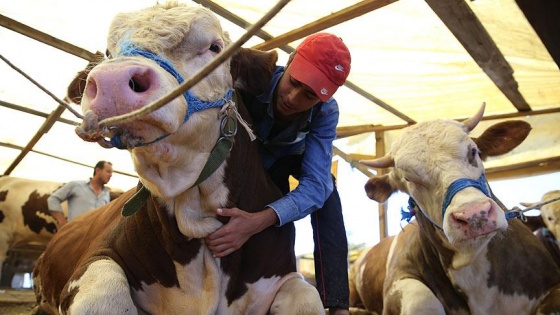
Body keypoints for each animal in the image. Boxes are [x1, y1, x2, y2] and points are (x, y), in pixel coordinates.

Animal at [31, 3, 324, 315]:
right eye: (109, 52)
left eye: (214, 48)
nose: (112, 80)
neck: (197, 216)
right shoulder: (98, 258)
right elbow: (105, 294)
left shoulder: (283, 274)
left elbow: (307, 298)